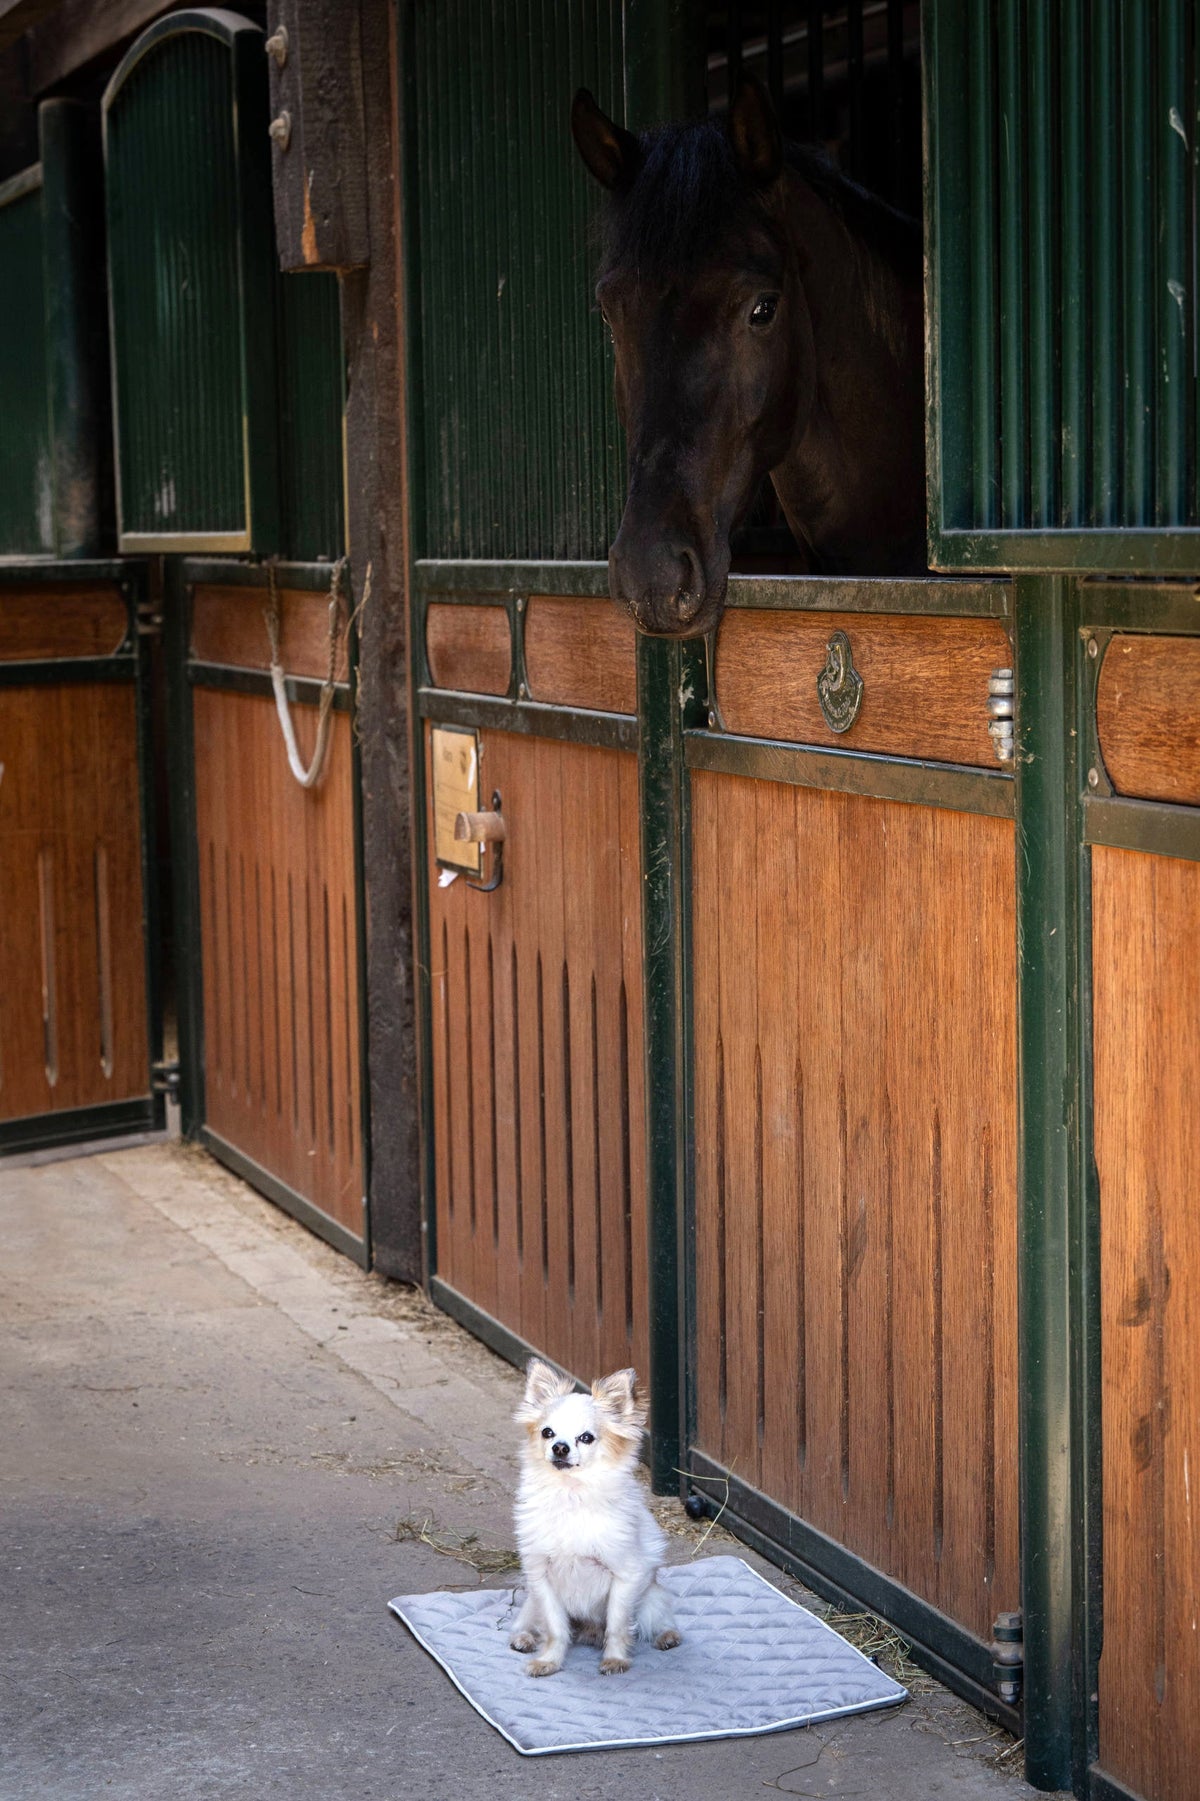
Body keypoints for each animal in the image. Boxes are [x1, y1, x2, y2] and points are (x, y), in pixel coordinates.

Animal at [508, 1361, 681, 1671]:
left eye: (586, 1438)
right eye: (547, 1433)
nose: (560, 1447)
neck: (571, 1495)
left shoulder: (624, 1576)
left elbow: (617, 1625)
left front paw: (614, 1659)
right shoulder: (541, 1578)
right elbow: (555, 1627)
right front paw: (550, 1661)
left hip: (649, 1600)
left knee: (657, 1620)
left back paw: (667, 1636)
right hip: (532, 1604)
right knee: (530, 1623)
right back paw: (524, 1638)